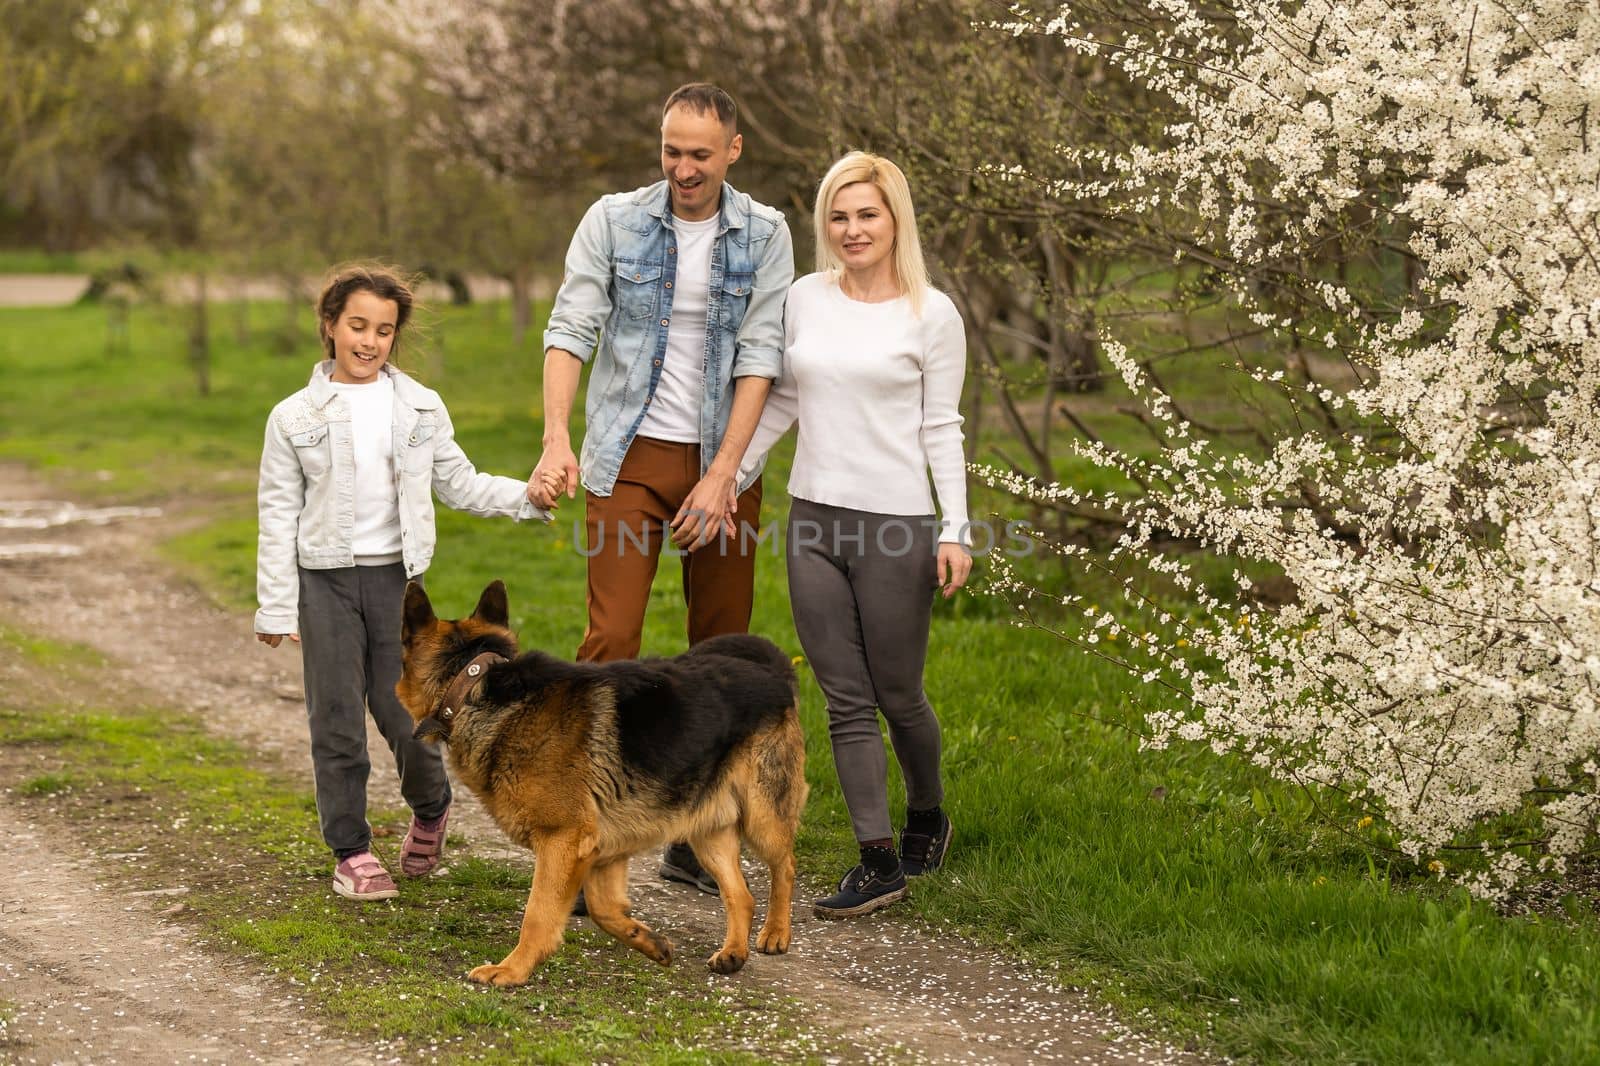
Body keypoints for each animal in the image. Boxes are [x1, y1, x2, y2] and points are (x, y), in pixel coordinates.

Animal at [395, 582, 806, 979]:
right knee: (741, 894)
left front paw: (512, 969)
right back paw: (733, 951)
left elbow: (538, 913)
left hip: (762, 817)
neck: (475, 684)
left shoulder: (563, 841)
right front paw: (649, 941)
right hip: (707, 827)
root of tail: (773, 670)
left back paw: (776, 932)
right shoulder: (602, 850)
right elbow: (603, 909)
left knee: (785, 866)